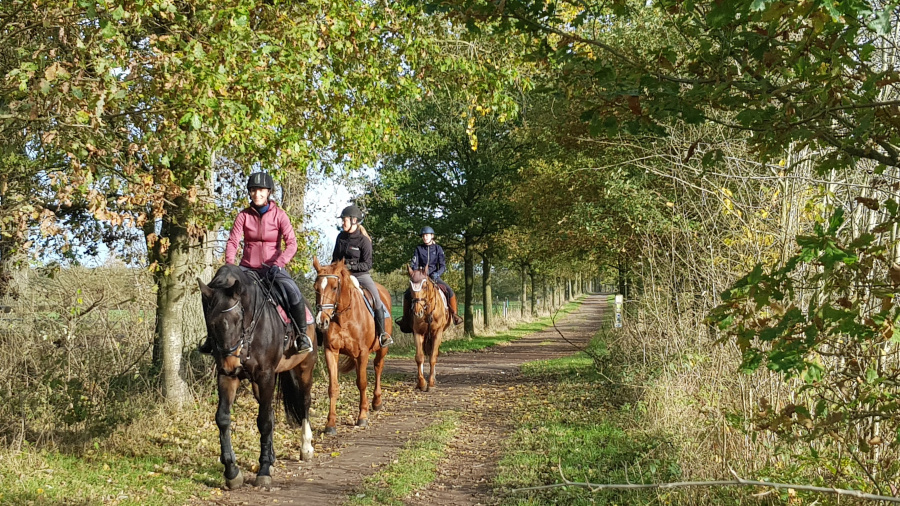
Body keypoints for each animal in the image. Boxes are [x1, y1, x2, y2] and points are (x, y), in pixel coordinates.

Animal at [200, 264, 316, 490]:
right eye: (211, 322)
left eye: (238, 319)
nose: (231, 364)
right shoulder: (227, 377)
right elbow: (223, 418)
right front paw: (232, 472)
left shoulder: (265, 375)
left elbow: (263, 421)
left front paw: (263, 471)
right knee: (270, 411)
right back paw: (272, 458)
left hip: (305, 368)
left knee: (304, 402)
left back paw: (306, 447)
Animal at [312, 258, 390, 436]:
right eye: (316, 288)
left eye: (334, 287)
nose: (322, 321)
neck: (344, 318)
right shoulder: (331, 352)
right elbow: (333, 387)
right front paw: (330, 424)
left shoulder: (363, 353)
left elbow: (362, 383)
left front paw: (362, 417)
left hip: (381, 349)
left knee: (378, 367)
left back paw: (377, 402)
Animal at [408, 266, 450, 394]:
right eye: (410, 286)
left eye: (425, 286)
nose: (417, 312)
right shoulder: (418, 332)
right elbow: (419, 357)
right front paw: (421, 383)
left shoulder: (437, 333)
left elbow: (432, 358)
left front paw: (431, 383)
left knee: (433, 354)